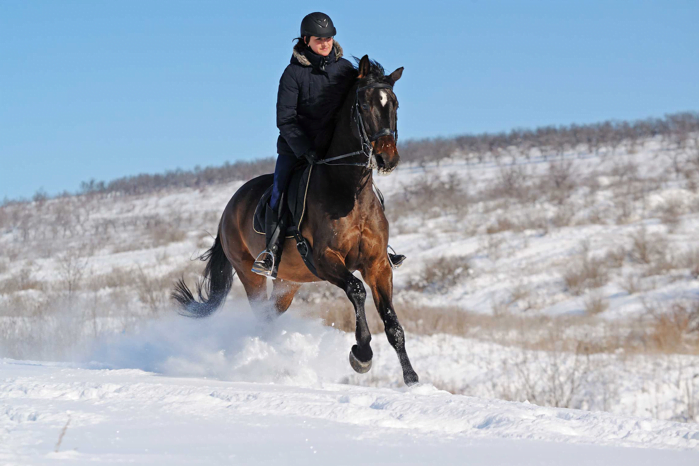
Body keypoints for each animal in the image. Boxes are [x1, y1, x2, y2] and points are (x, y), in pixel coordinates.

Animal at [172, 55, 418, 386]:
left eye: (394, 104)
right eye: (364, 106)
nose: (386, 159)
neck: (349, 190)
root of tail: (228, 208)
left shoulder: (378, 264)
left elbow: (393, 324)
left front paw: (412, 379)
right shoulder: (326, 259)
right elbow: (356, 290)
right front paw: (362, 355)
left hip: (288, 283)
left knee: (270, 314)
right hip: (249, 273)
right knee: (260, 314)